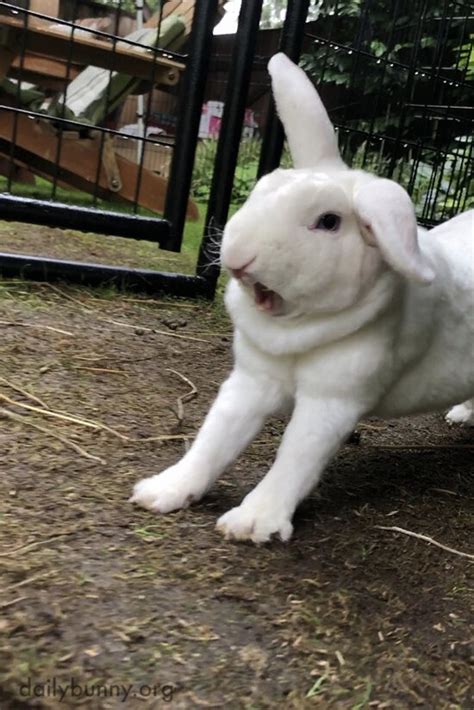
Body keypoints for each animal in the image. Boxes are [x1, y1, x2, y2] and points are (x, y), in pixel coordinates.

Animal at [132, 54, 474, 544]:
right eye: (261, 190)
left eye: (329, 221)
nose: (237, 254)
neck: (296, 334)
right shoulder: (250, 383)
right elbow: (213, 440)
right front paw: (162, 491)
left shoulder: (331, 402)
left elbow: (295, 458)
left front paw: (252, 523)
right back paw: (461, 414)